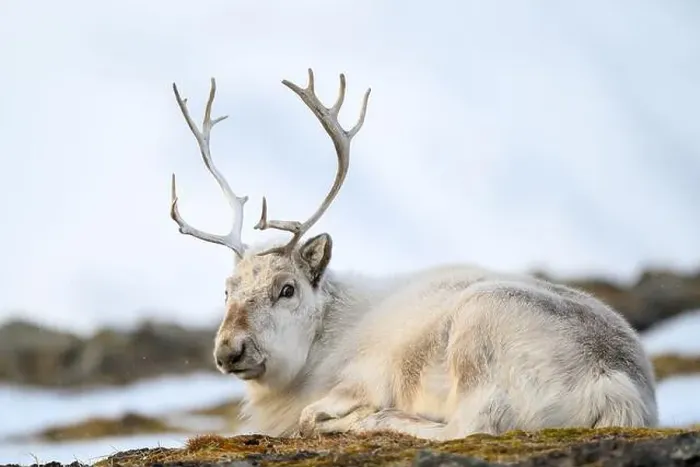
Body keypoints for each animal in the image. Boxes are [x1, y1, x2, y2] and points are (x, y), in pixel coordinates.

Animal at [167, 68, 659, 440]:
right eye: (226, 289)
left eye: (286, 288)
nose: (228, 350)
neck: (320, 343)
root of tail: (618, 387)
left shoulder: (358, 380)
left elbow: (311, 415)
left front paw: (344, 416)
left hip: (478, 329)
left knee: (468, 427)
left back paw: (377, 419)